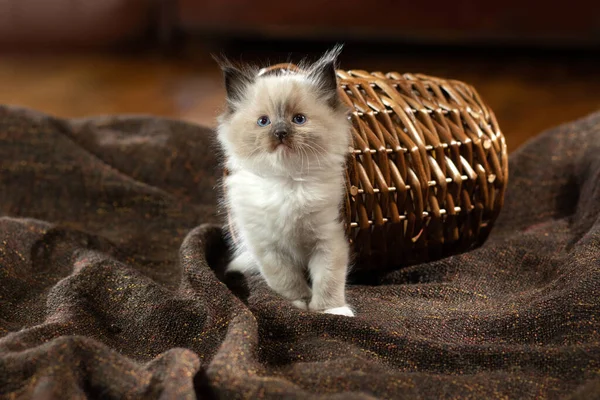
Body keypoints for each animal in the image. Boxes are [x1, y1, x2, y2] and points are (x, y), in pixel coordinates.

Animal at [217, 46, 354, 316]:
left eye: (298, 119)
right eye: (264, 121)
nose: (280, 133)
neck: (287, 183)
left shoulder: (327, 239)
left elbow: (329, 279)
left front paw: (331, 310)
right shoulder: (268, 248)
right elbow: (286, 280)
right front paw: (298, 304)